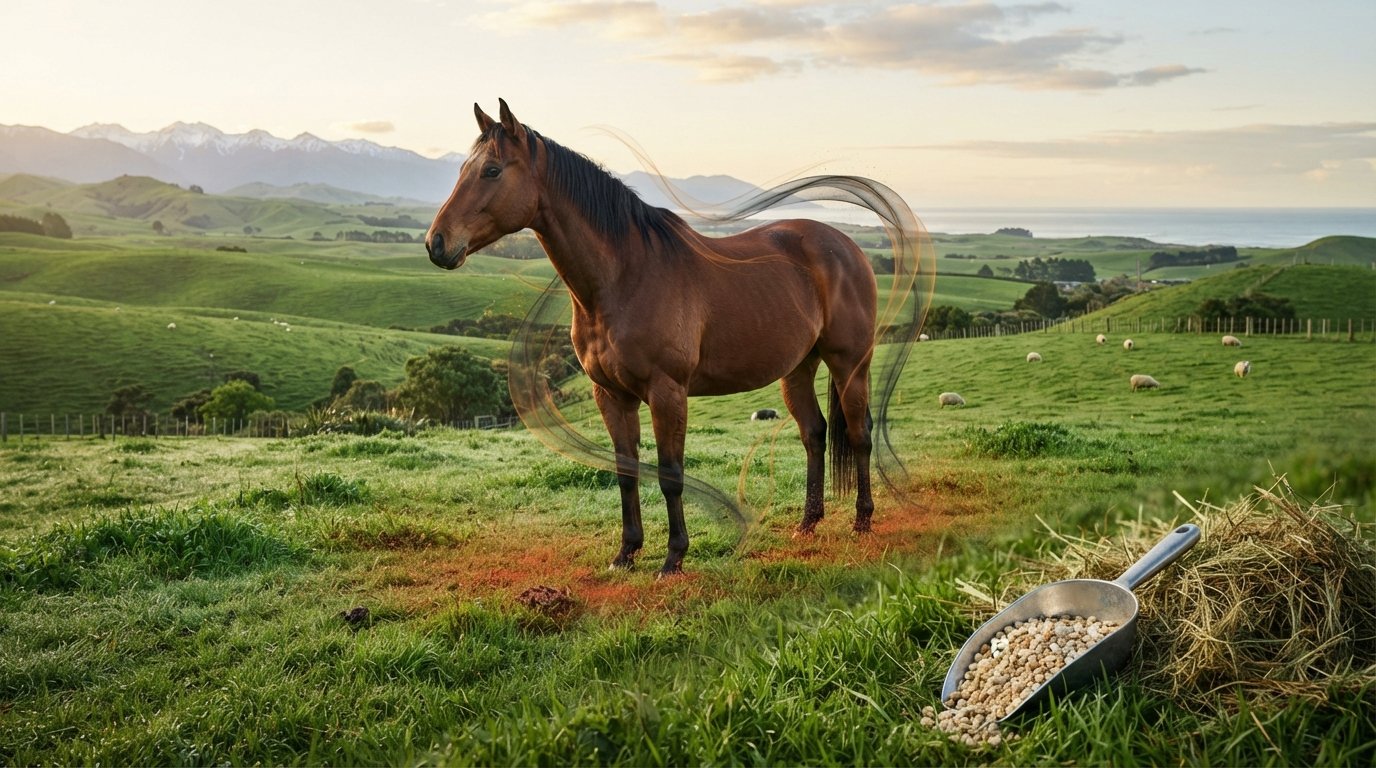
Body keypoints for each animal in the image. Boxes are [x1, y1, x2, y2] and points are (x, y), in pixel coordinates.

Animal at [427, 100, 906, 576]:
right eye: (463, 170)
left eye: (491, 170)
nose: (437, 244)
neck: (625, 275)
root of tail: (847, 246)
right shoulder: (611, 395)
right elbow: (626, 472)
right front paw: (626, 552)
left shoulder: (667, 392)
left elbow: (670, 473)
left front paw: (674, 556)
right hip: (798, 368)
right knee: (814, 434)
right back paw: (807, 524)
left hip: (849, 363)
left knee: (859, 434)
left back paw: (862, 521)